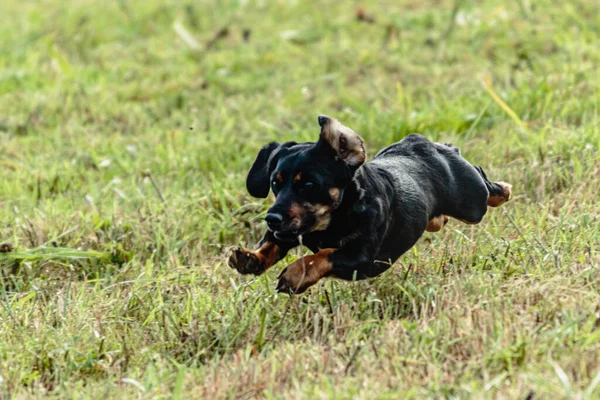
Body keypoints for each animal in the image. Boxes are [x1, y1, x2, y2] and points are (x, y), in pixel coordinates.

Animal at [227, 115, 508, 294]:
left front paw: (295, 275)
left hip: (472, 204)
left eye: (308, 184)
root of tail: (435, 145)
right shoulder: (287, 233)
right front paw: (249, 258)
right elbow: (272, 245)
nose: (271, 219)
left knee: (485, 184)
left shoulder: (361, 259)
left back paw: (503, 189)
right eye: (275, 183)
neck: (335, 218)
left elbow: (321, 256)